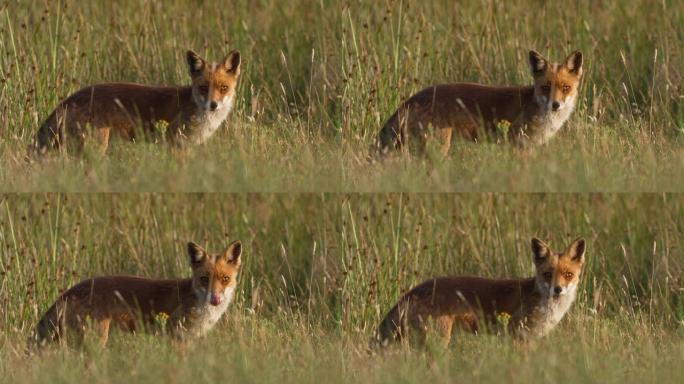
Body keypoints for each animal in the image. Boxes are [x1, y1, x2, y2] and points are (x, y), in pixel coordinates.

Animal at [35, 240, 243, 344]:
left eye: (225, 279)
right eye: (204, 279)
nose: (215, 298)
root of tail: (71, 290)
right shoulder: (176, 336)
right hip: (96, 338)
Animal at [36, 49, 243, 153]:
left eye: (223, 88)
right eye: (203, 88)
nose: (213, 105)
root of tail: (68, 100)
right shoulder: (175, 142)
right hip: (96, 147)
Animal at [374, 50, 584, 156]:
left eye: (565, 88)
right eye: (546, 87)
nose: (555, 105)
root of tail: (414, 97)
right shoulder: (518, 144)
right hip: (438, 148)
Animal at [374, 237, 588, 348]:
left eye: (568, 274)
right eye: (548, 274)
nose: (558, 289)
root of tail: (414, 290)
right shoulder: (517, 334)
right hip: (438, 340)